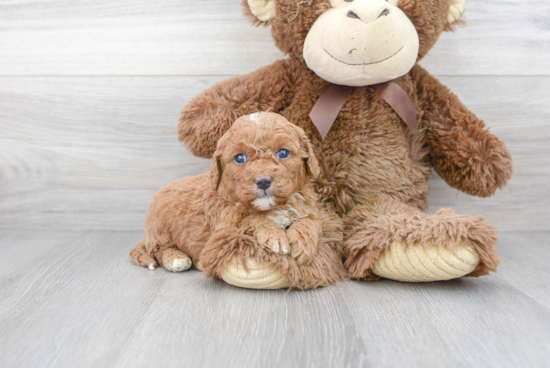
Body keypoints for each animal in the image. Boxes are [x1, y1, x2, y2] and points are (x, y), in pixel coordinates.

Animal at [129, 113, 344, 290]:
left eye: (283, 153)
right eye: (240, 158)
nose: (263, 181)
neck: (271, 208)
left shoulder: (307, 208)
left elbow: (310, 221)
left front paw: (303, 242)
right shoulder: (225, 222)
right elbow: (249, 219)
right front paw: (274, 235)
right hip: (160, 228)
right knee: (157, 249)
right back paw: (177, 259)